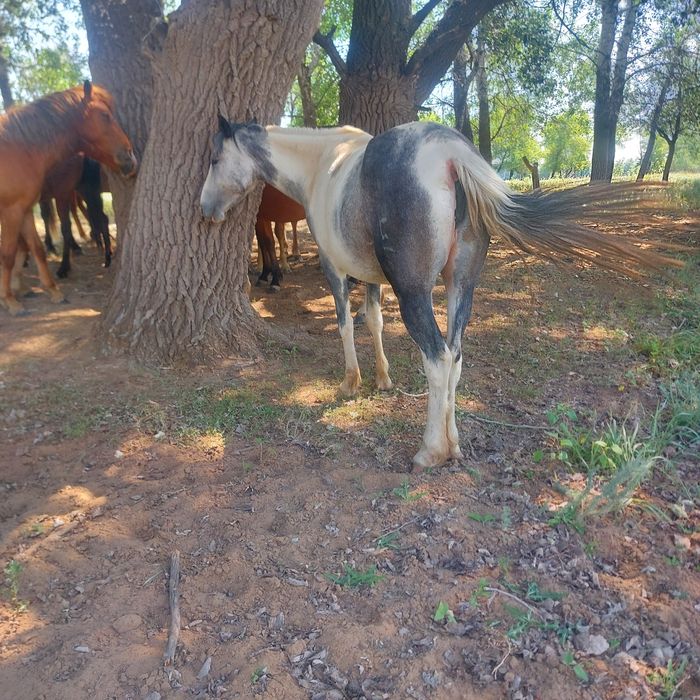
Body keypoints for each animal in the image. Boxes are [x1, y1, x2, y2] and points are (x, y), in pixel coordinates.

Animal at [0, 80, 136, 315]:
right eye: (105, 115)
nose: (131, 157)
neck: (17, 150)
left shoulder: (24, 210)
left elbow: (36, 248)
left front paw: (52, 290)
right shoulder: (12, 211)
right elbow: (8, 254)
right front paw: (9, 299)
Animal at [200, 117, 679, 470]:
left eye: (215, 157)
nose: (206, 209)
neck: (323, 165)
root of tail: (450, 154)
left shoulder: (335, 271)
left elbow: (344, 325)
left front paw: (352, 381)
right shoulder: (372, 276)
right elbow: (374, 321)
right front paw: (383, 378)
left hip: (415, 293)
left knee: (437, 357)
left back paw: (432, 451)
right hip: (459, 286)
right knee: (455, 356)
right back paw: (454, 445)